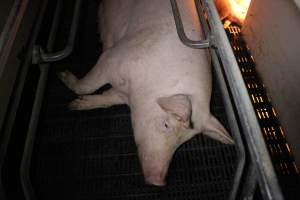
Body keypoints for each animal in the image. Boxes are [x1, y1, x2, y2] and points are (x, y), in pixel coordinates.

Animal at [57, 0, 233, 186]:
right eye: (166, 124)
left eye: (183, 141)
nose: (158, 181)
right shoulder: (113, 58)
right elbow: (88, 85)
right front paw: (63, 77)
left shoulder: (123, 92)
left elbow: (107, 99)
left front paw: (74, 105)